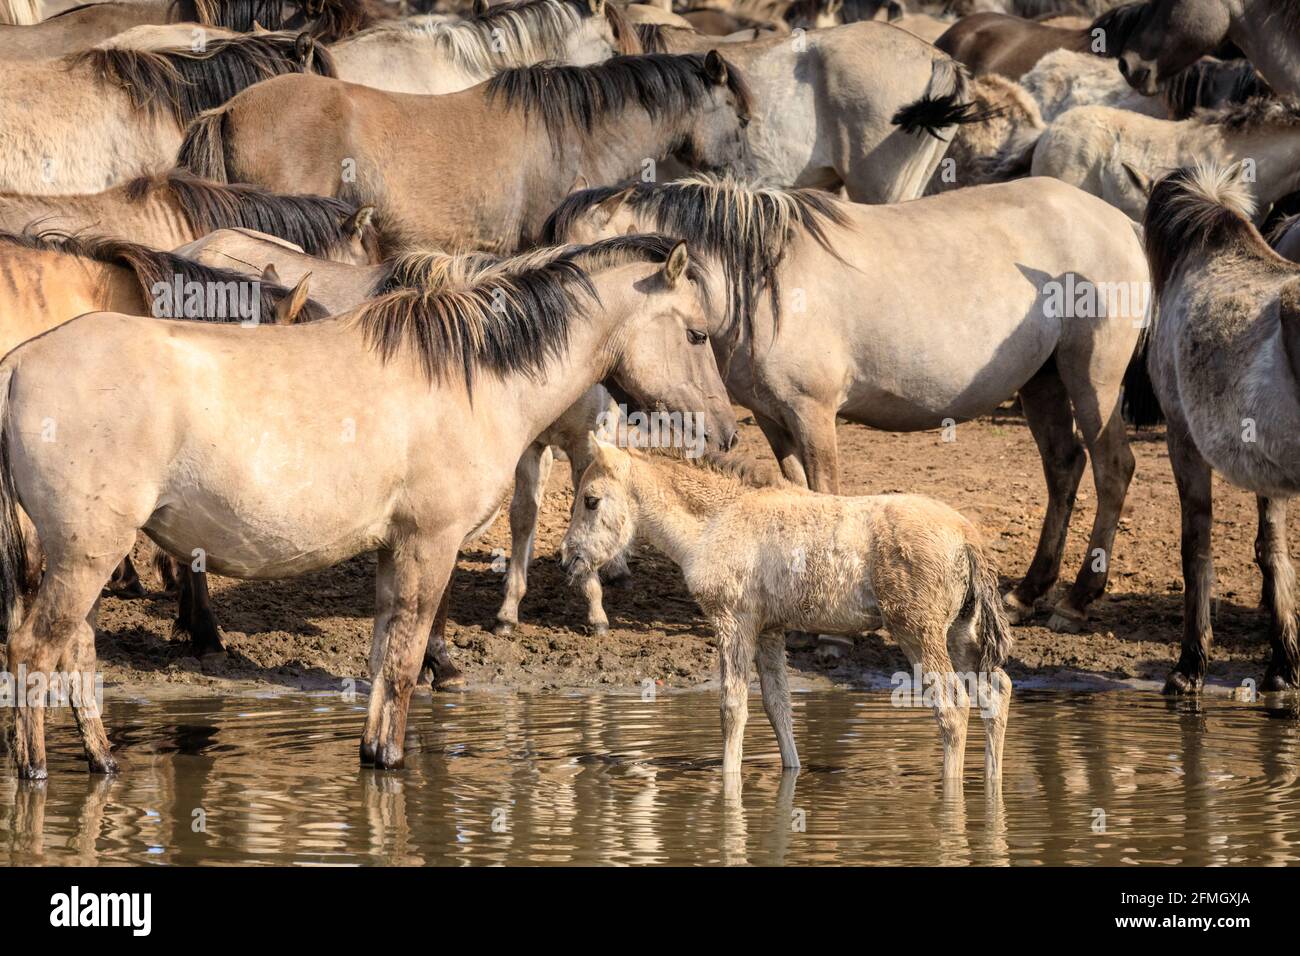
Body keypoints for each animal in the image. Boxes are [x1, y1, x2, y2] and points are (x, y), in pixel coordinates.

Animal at [561, 442, 1013, 785]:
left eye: (590, 500)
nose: (569, 559)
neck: (715, 522)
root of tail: (967, 535)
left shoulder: (732, 622)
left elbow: (732, 707)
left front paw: (728, 781)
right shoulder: (769, 631)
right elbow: (778, 707)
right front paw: (791, 774)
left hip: (917, 631)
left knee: (953, 708)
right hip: (961, 634)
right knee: (997, 691)